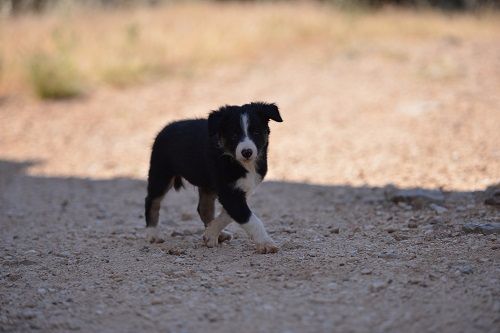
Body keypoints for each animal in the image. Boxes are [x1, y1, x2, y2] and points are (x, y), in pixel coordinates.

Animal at [146, 101, 284, 252]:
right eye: (234, 135)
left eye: (256, 132)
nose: (246, 152)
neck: (242, 164)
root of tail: (166, 128)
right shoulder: (229, 191)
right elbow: (248, 217)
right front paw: (266, 243)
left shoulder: (245, 187)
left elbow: (230, 214)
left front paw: (211, 234)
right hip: (161, 173)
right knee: (152, 201)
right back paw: (152, 234)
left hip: (206, 185)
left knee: (204, 208)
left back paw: (220, 234)